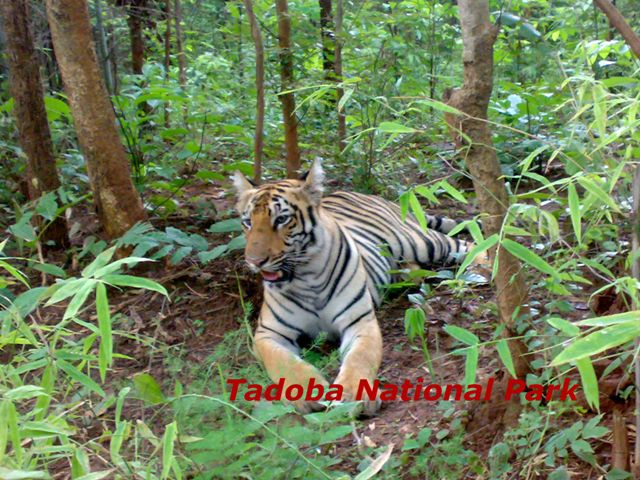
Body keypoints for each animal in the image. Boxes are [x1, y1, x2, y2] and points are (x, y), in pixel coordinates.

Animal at [232, 161, 478, 416]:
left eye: (281, 219)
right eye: (247, 222)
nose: (254, 261)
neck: (306, 278)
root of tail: (362, 193)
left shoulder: (360, 322)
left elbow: (360, 357)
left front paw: (352, 397)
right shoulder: (268, 333)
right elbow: (283, 362)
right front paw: (305, 391)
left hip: (419, 241)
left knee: (465, 243)